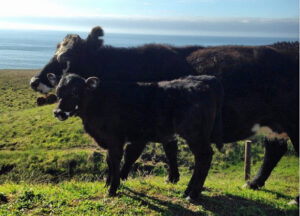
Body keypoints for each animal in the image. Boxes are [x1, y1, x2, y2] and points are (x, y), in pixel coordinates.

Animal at [52, 73, 224, 198]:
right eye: (58, 92)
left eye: (75, 91)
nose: (58, 112)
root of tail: (204, 83)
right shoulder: (111, 140)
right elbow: (109, 161)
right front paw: (107, 184)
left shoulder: (116, 139)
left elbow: (115, 160)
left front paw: (112, 189)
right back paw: (188, 190)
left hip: (194, 134)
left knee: (204, 157)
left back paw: (192, 194)